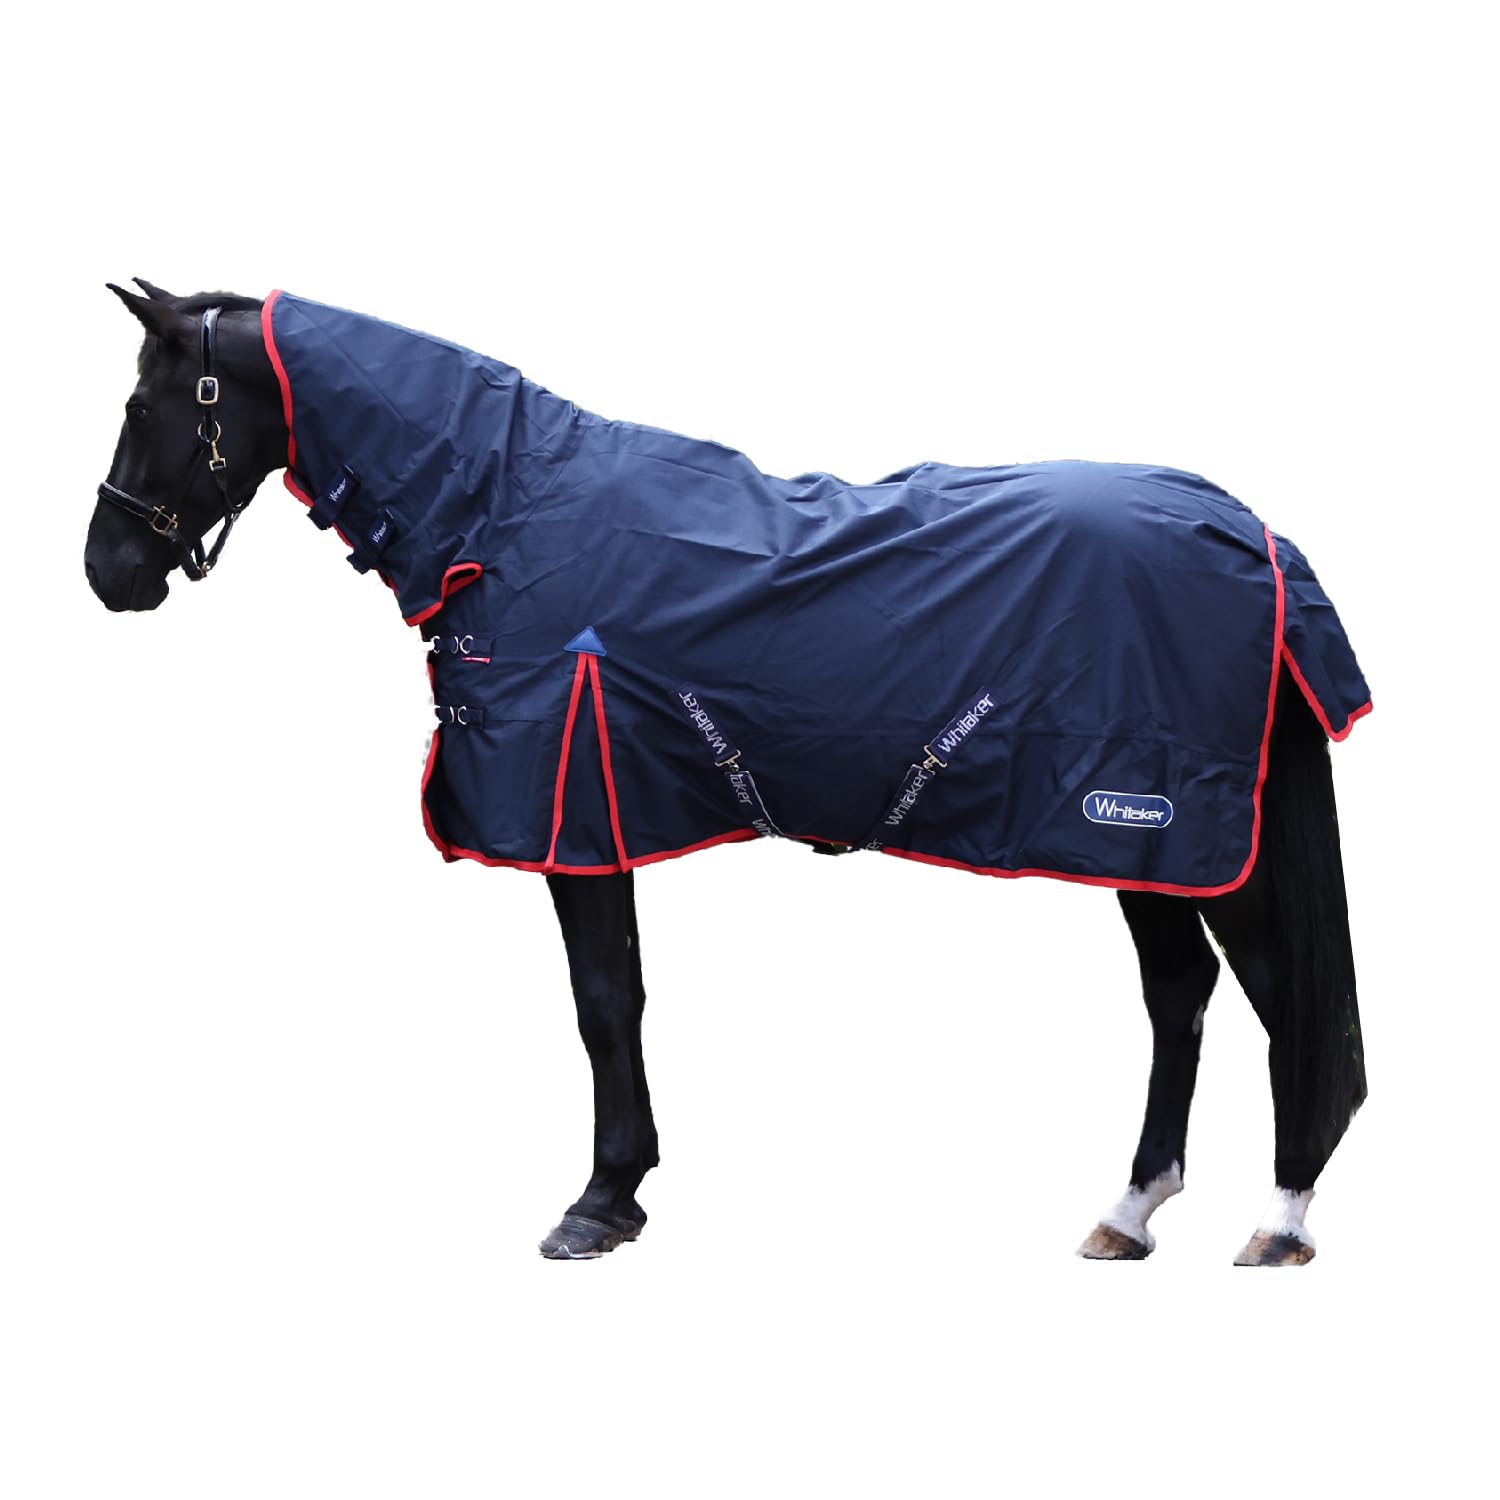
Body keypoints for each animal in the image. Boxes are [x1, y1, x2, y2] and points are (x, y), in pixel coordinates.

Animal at [85, 280, 1370, 1265]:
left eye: (148, 403)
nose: (108, 570)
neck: (504, 513)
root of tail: (1251, 532)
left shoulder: (574, 817)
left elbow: (604, 1005)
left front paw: (600, 1201)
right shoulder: (599, 819)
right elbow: (621, 1000)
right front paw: (626, 1189)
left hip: (1186, 834)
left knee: (1281, 999)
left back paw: (1281, 1220)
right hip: (1145, 847)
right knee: (1181, 996)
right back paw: (1130, 1210)